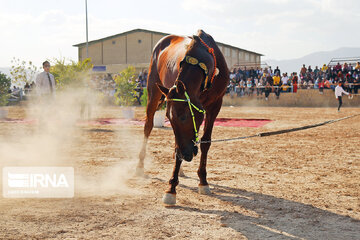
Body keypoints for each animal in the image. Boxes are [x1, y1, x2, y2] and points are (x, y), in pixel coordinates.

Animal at [136, 29, 229, 205]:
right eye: (169, 118)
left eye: (185, 116)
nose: (186, 154)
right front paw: (171, 189)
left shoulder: (215, 106)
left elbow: (206, 142)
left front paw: (203, 181)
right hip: (153, 91)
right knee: (148, 127)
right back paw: (140, 165)